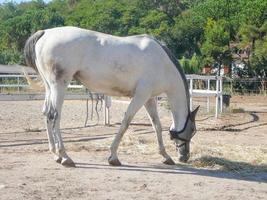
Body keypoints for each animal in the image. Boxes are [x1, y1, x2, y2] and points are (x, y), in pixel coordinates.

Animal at [24, 26, 199, 167]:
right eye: (192, 130)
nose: (185, 157)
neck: (162, 63)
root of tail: (45, 33)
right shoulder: (140, 96)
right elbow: (126, 121)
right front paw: (113, 157)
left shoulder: (149, 98)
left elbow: (156, 125)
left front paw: (165, 156)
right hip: (59, 85)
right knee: (54, 115)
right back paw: (65, 157)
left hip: (49, 87)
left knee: (47, 113)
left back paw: (55, 154)